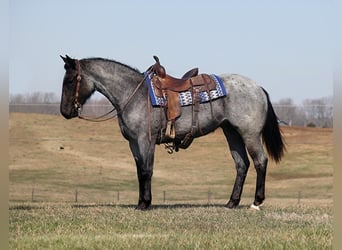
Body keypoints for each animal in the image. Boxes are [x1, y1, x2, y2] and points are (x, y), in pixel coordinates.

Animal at [60, 55, 284, 210]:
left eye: (70, 80)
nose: (64, 111)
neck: (133, 94)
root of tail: (258, 87)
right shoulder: (133, 143)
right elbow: (139, 171)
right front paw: (140, 202)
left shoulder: (146, 140)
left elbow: (147, 170)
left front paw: (145, 203)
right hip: (232, 133)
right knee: (241, 164)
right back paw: (232, 202)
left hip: (249, 134)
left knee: (260, 161)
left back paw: (256, 202)